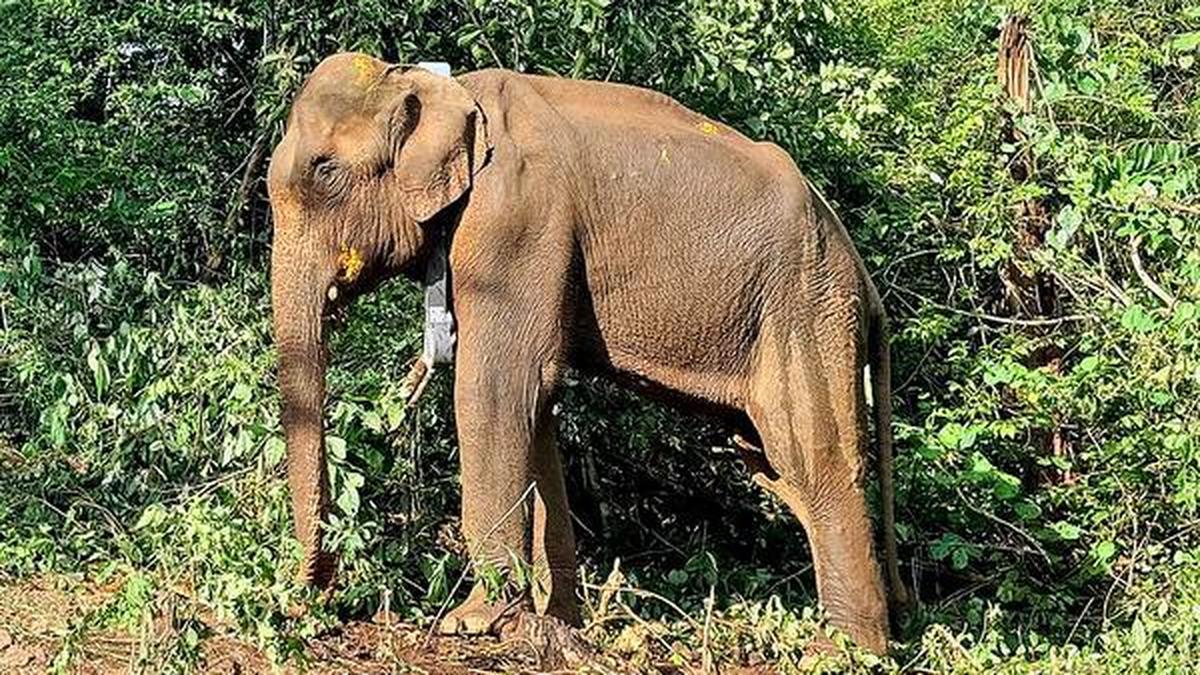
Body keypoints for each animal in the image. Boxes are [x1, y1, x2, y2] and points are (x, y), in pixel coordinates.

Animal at [267, 52, 908, 653]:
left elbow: (494, 391)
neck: (439, 85)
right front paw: (557, 624)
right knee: (775, 470)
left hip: (805, 309)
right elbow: (535, 405)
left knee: (816, 457)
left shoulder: (515, 223)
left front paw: (471, 624)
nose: (313, 598)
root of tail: (863, 274)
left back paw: (845, 649)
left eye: (325, 172)